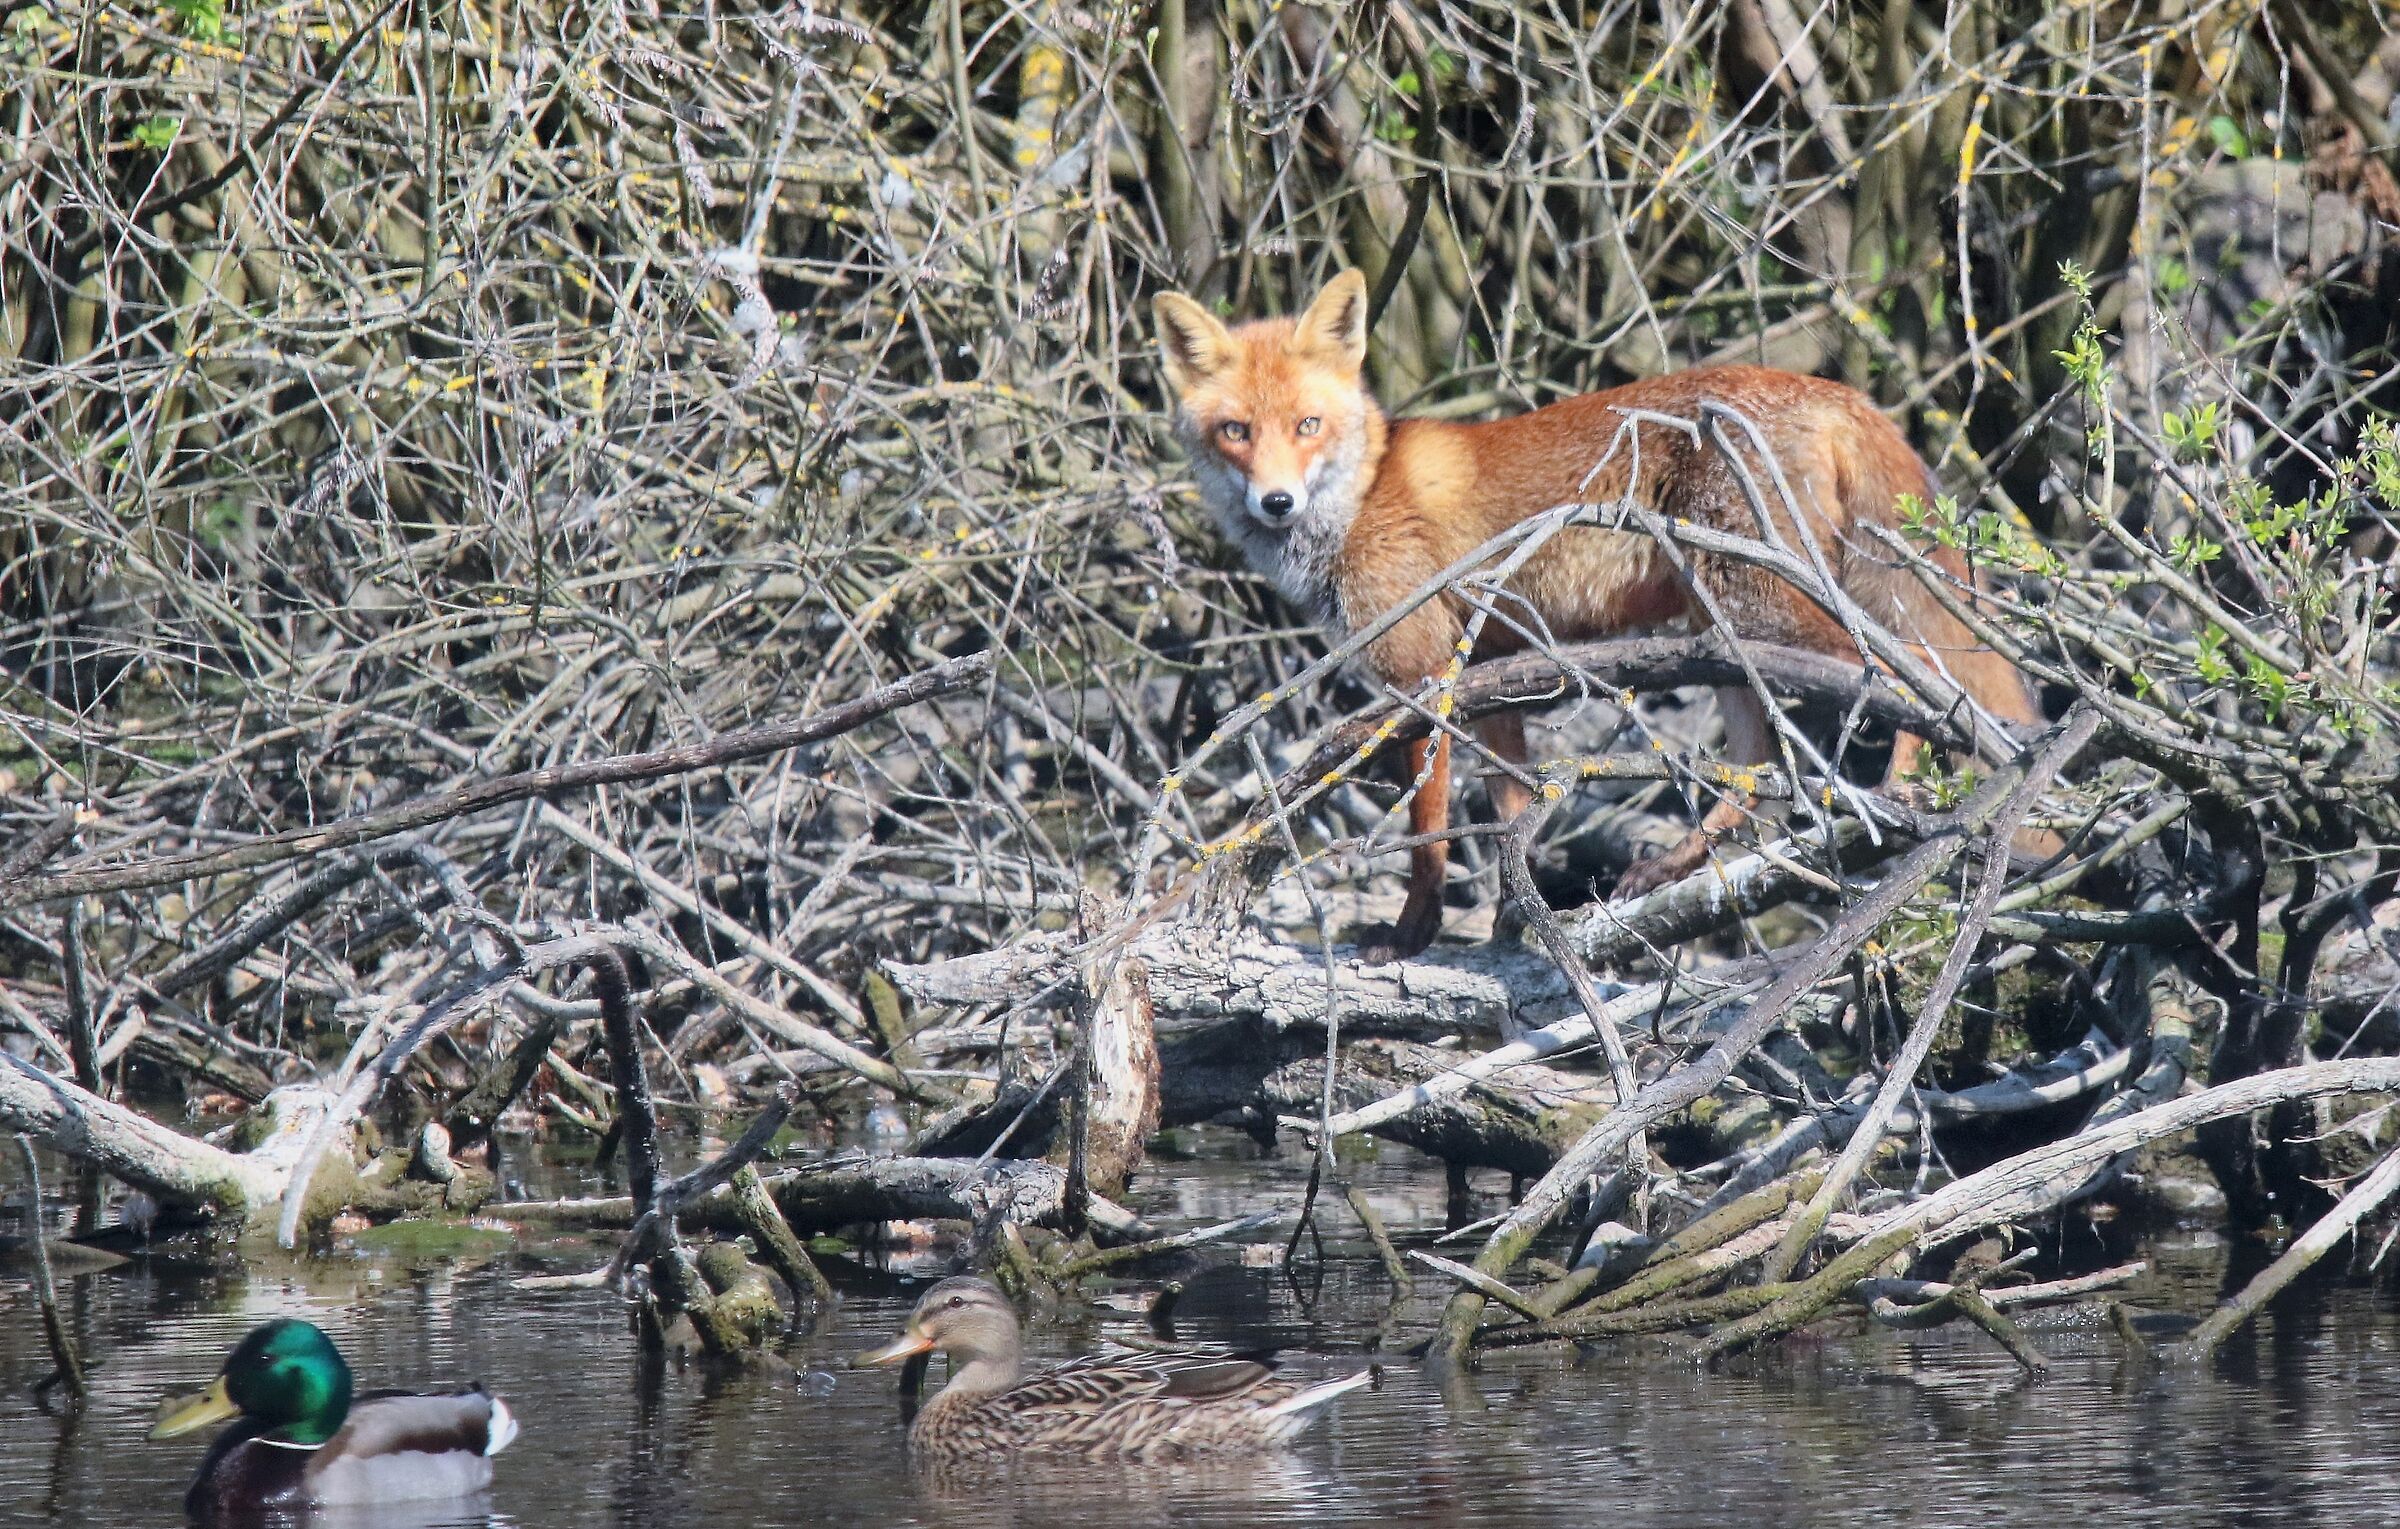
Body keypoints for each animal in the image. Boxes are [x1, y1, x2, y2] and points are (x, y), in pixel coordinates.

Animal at [1153, 268, 2047, 962]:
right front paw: (1511, 923)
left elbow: (1429, 835)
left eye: (1307, 425)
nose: (1276, 502)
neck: (1365, 491)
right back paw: (1675, 868)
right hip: (1723, 635)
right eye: (1236, 431)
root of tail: (1834, 387)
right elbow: (1511, 815)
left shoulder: (1424, 680)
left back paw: (1906, 786)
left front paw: (1411, 934)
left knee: (1909, 668)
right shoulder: (1488, 679)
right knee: (1756, 772)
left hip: (1762, 610)